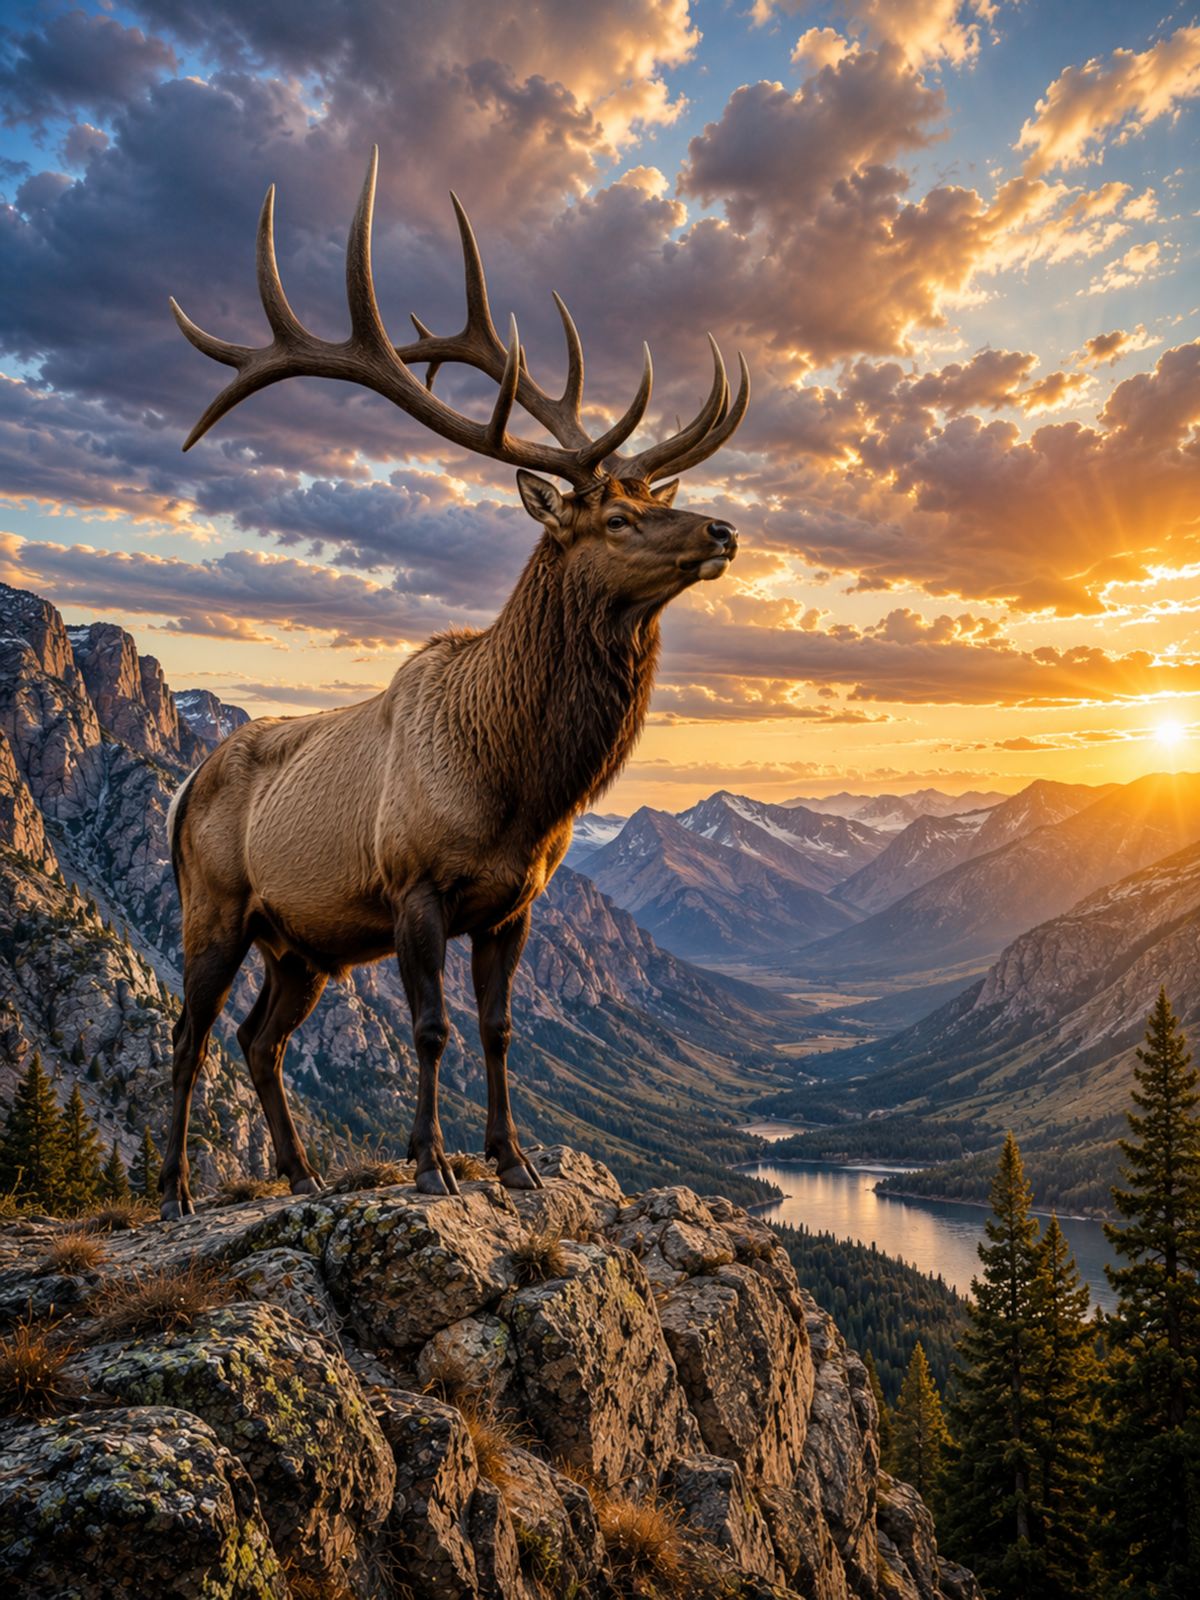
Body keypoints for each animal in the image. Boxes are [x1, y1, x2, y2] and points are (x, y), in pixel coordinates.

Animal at [160, 148, 748, 1217]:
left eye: (654, 496)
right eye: (613, 517)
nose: (722, 529)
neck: (521, 786)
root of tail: (184, 787)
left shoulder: (513, 905)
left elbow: (499, 1030)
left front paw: (513, 1160)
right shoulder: (414, 886)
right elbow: (432, 1031)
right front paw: (431, 1162)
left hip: (300, 943)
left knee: (259, 1040)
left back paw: (302, 1172)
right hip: (214, 905)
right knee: (191, 1033)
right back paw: (177, 1189)